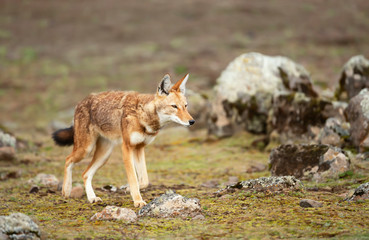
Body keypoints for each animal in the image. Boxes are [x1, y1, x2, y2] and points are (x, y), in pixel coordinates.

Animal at [53, 74, 196, 207]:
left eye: (185, 106)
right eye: (174, 106)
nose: (192, 121)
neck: (142, 115)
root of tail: (81, 102)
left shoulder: (139, 147)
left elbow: (144, 180)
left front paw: (127, 189)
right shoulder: (127, 147)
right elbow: (133, 178)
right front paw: (138, 201)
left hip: (104, 156)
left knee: (85, 174)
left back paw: (92, 198)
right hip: (85, 150)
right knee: (68, 160)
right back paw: (66, 190)